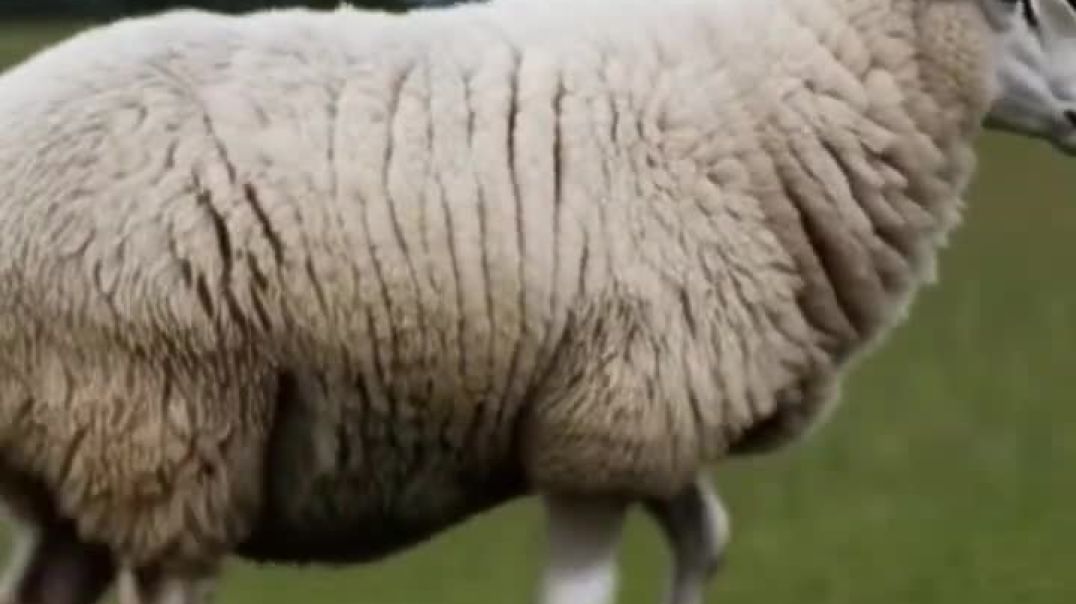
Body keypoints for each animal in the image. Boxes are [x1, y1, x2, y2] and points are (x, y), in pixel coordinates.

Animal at [0, 0, 1073, 602]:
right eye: (1020, 3)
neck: (782, 77)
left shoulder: (637, 405)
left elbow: (708, 541)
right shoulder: (618, 414)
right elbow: (584, 589)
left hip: (78, 448)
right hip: (162, 421)